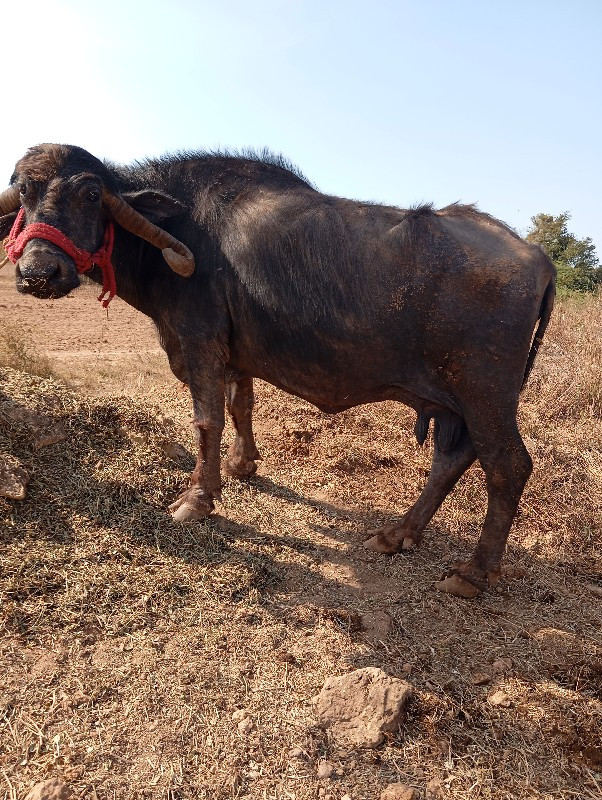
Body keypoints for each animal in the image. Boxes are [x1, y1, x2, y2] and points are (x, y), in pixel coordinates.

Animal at [0, 144, 552, 596]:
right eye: (23, 190)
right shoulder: (234, 355)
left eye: (91, 193)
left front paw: (197, 499)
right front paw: (243, 465)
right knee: (451, 459)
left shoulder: (199, 344)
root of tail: (537, 258)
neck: (180, 229)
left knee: (507, 465)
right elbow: (239, 406)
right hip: (453, 403)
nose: (38, 273)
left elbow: (207, 421)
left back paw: (472, 573)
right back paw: (397, 534)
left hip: (484, 394)